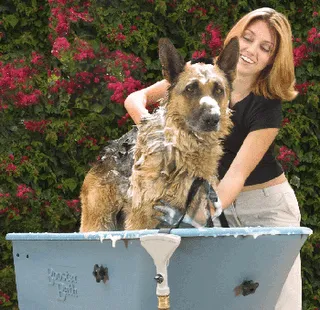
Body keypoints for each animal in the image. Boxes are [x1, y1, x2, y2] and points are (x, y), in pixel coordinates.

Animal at [79, 37, 240, 231]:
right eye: (190, 89)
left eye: (219, 90)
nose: (213, 118)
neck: (181, 149)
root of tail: (108, 153)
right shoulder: (141, 218)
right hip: (99, 222)